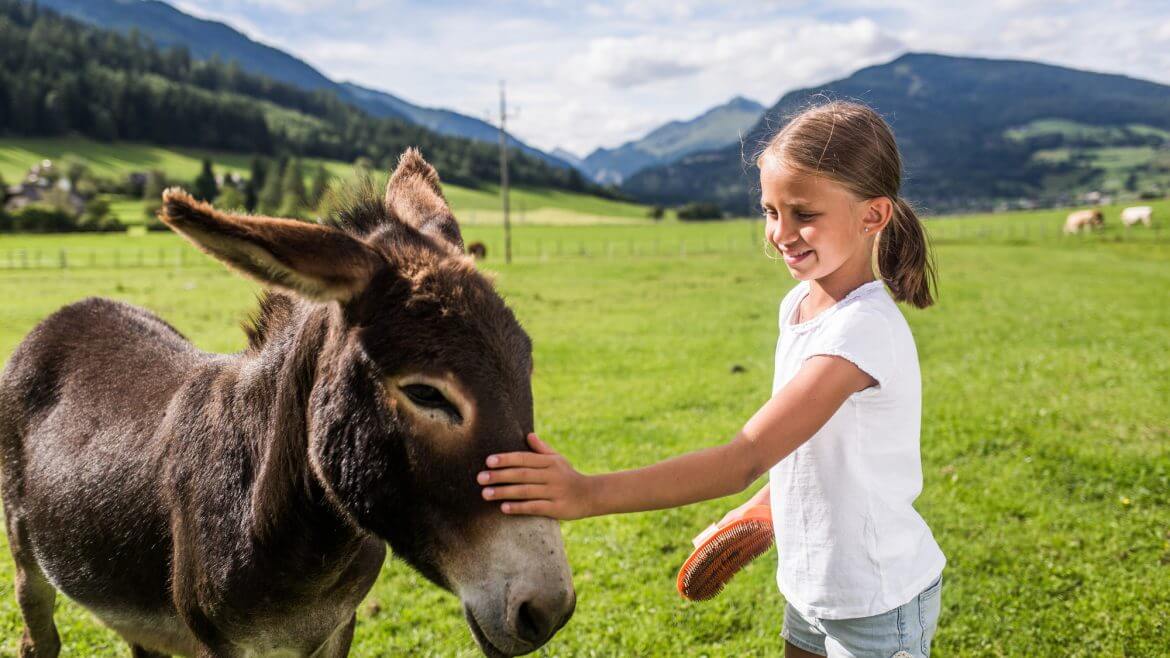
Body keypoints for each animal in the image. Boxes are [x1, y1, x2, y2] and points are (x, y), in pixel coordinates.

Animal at [0, 149, 575, 655]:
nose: (549, 610)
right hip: (28, 557)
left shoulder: (337, 628)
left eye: (526, 367)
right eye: (425, 393)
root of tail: (73, 310)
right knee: (38, 638)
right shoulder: (217, 643)